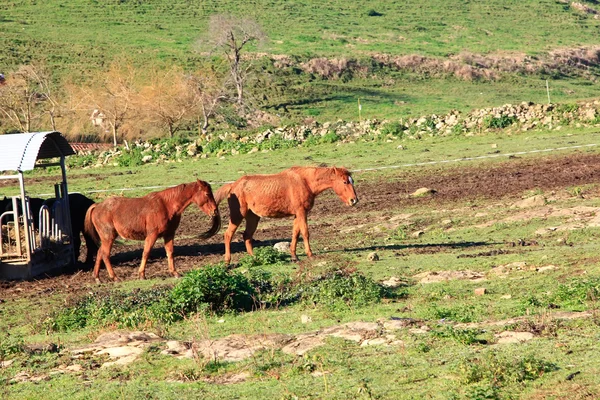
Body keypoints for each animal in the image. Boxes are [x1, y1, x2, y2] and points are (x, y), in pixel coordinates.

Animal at [81, 180, 218, 282]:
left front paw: (174, 272)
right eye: (207, 194)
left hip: (105, 239)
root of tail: (97, 206)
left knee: (100, 253)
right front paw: (142, 274)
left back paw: (97, 277)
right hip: (108, 237)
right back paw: (114, 277)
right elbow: (146, 253)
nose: (215, 211)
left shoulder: (169, 235)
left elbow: (170, 253)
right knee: (105, 254)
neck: (166, 205)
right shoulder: (152, 235)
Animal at [214, 166, 358, 264]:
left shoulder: (297, 214)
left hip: (253, 217)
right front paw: (310, 254)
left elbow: (295, 233)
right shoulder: (301, 212)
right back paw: (227, 260)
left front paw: (294, 256)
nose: (354, 200)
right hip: (237, 216)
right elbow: (305, 233)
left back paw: (254, 258)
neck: (305, 182)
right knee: (228, 235)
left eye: (352, 181)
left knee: (247, 236)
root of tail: (233, 185)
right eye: (345, 182)